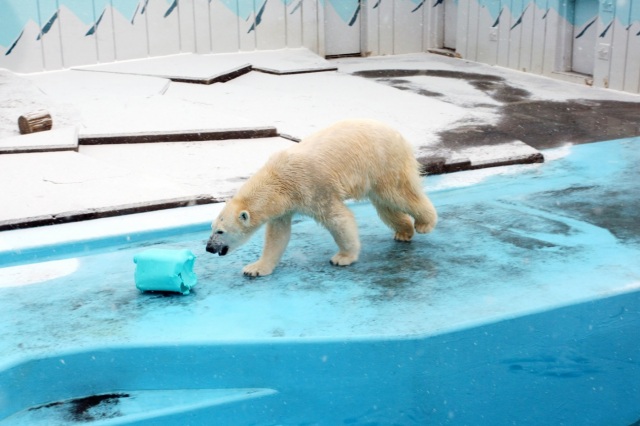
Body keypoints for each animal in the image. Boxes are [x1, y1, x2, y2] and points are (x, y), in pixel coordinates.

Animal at [208, 120, 438, 276]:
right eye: (213, 228)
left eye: (220, 231)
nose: (209, 248)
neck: (278, 180)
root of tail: (397, 134)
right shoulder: (283, 206)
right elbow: (277, 235)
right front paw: (254, 268)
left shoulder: (313, 188)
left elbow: (338, 218)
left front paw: (342, 258)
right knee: (385, 205)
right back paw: (403, 232)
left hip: (383, 163)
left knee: (399, 194)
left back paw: (424, 223)